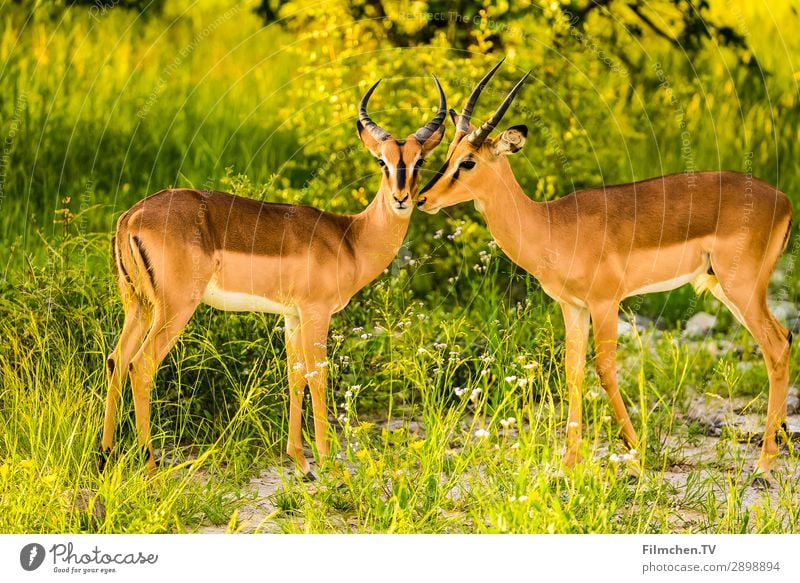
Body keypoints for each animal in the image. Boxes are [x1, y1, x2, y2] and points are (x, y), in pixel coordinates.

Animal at [100, 77, 446, 480]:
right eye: (382, 161)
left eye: (420, 160)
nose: (402, 198)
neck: (349, 237)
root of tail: (131, 217)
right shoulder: (316, 312)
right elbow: (317, 376)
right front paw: (326, 460)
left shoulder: (292, 316)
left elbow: (295, 377)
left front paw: (300, 460)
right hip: (175, 307)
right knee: (141, 365)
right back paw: (151, 466)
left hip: (138, 305)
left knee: (116, 359)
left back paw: (105, 456)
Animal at [418, 61, 792, 484]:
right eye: (448, 153)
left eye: (468, 161)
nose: (422, 198)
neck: (552, 225)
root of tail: (783, 200)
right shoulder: (572, 306)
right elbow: (573, 371)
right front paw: (567, 465)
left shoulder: (605, 303)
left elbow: (605, 369)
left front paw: (637, 455)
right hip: (725, 289)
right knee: (784, 338)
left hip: (741, 287)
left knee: (776, 346)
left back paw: (763, 463)